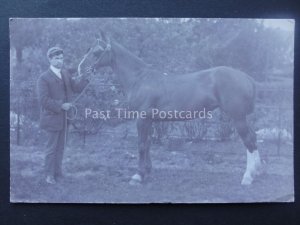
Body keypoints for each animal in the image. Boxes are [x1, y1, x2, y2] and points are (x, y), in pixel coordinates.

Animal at [79, 31, 262, 185]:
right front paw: (148, 171)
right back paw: (256, 172)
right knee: (253, 138)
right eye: (88, 50)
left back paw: (247, 177)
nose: (80, 71)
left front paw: (138, 175)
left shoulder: (142, 119)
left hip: (237, 117)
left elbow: (141, 144)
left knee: (248, 141)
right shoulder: (150, 120)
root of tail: (246, 77)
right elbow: (148, 143)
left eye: (96, 52)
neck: (140, 78)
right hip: (242, 117)